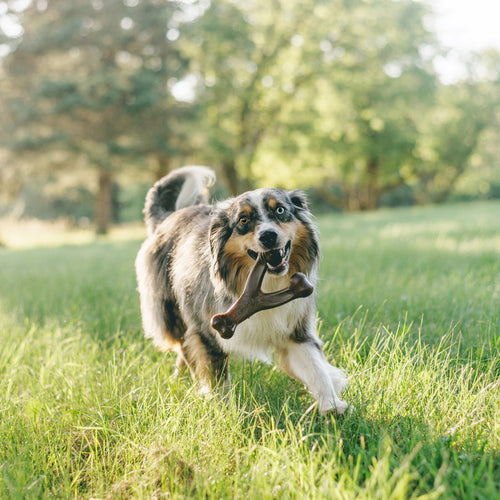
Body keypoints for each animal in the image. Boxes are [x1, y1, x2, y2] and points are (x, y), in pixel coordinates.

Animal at [135, 166, 350, 412]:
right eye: (243, 219)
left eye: (280, 210)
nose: (268, 236)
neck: (266, 285)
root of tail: (167, 218)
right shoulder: (207, 330)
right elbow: (217, 379)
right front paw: (222, 413)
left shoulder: (294, 328)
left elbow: (315, 367)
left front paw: (332, 406)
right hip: (173, 314)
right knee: (185, 347)